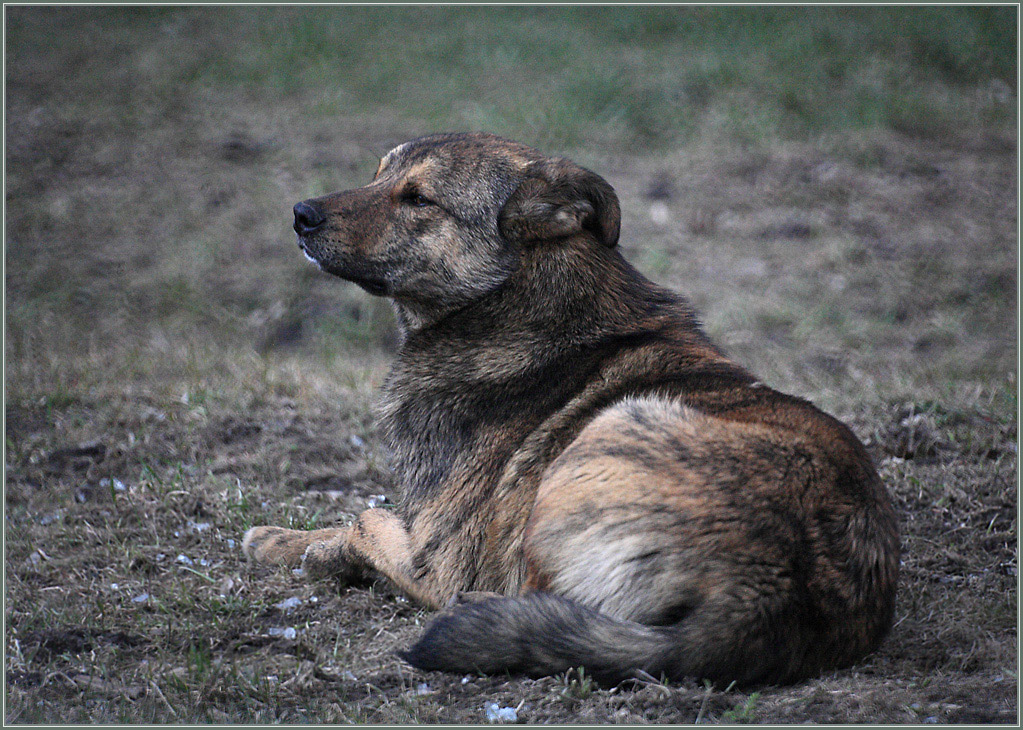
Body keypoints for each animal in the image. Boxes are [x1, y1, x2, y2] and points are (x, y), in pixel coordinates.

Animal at [243, 133, 900, 687]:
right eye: (378, 175)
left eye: (419, 199)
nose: (300, 214)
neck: (516, 296)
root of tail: (768, 588)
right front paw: (281, 538)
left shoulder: (441, 555)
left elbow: (361, 522)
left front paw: (297, 545)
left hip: (614, 428)